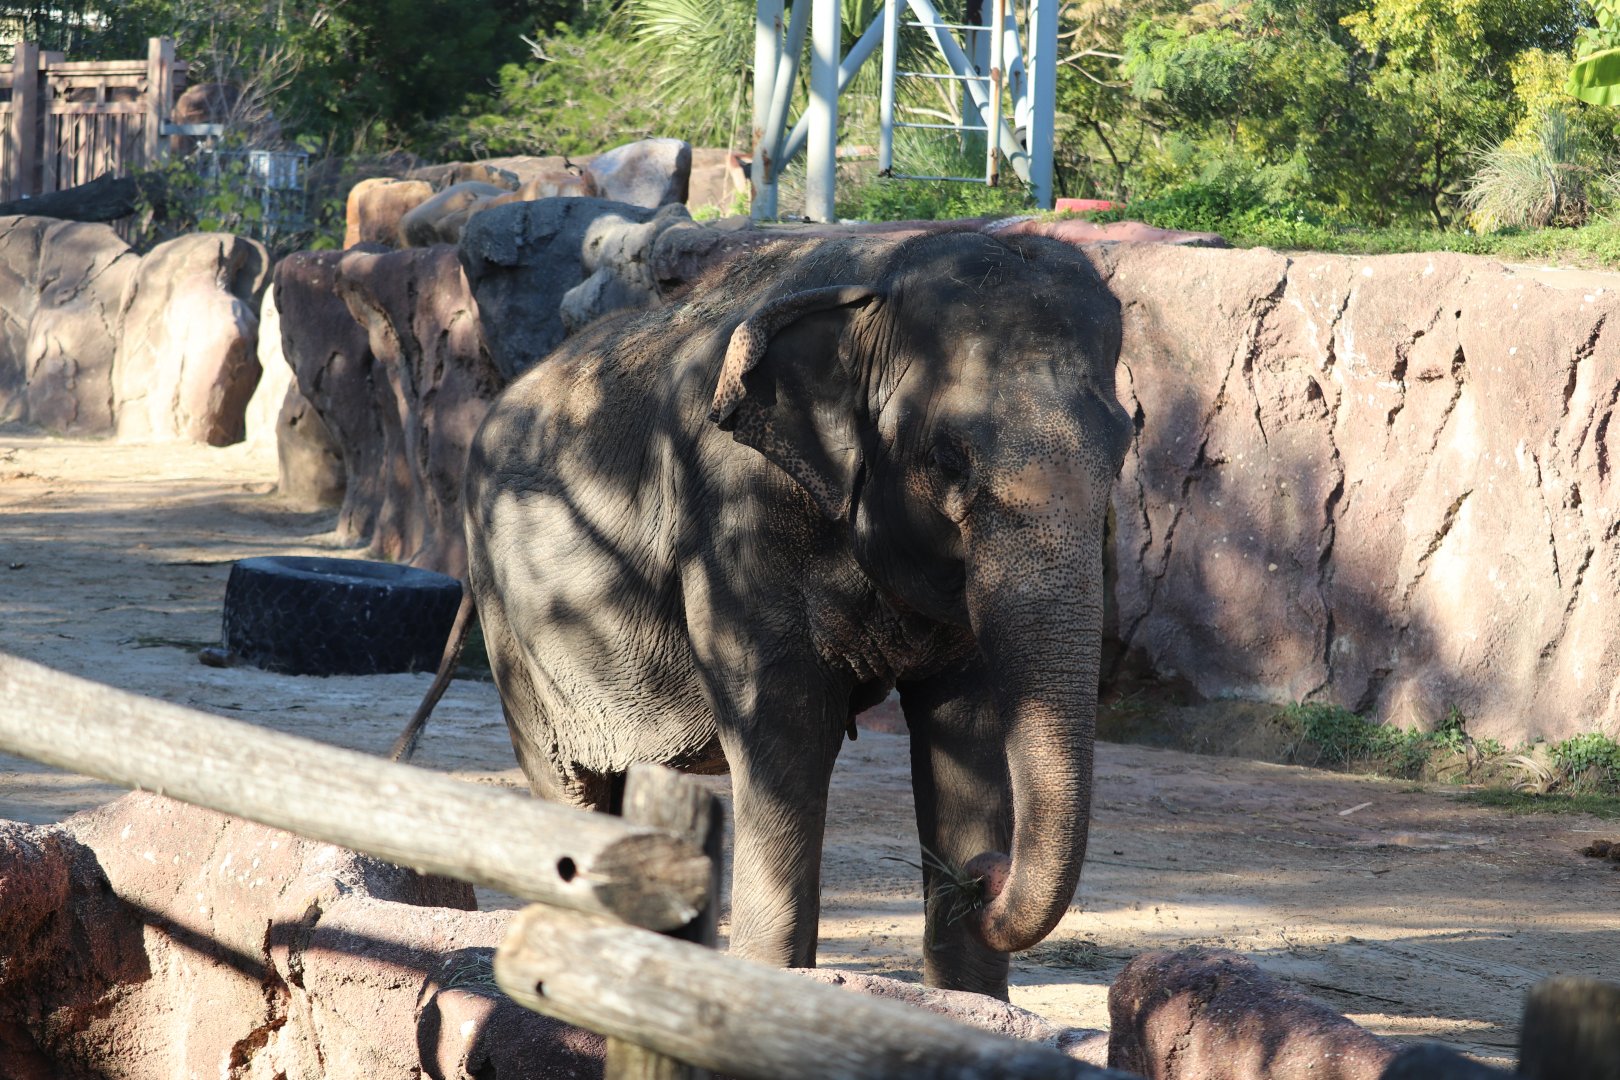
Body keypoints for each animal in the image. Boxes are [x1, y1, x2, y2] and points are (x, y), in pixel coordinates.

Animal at [425, 227, 1130, 999]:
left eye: (1125, 447)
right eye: (949, 458)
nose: (984, 877)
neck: (878, 282)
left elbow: (964, 729)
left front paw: (966, 1001)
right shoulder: (735, 505)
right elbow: (784, 721)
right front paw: (769, 982)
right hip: (512, 622)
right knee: (571, 782)